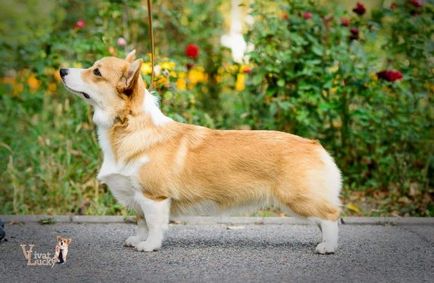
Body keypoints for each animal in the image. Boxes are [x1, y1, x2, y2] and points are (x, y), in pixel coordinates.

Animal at [59, 50, 342, 255]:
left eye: (96, 71)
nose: (62, 70)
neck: (130, 127)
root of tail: (315, 145)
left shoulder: (154, 197)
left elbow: (154, 225)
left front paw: (149, 246)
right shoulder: (138, 198)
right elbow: (140, 223)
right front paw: (137, 240)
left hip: (298, 198)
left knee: (331, 216)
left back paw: (327, 247)